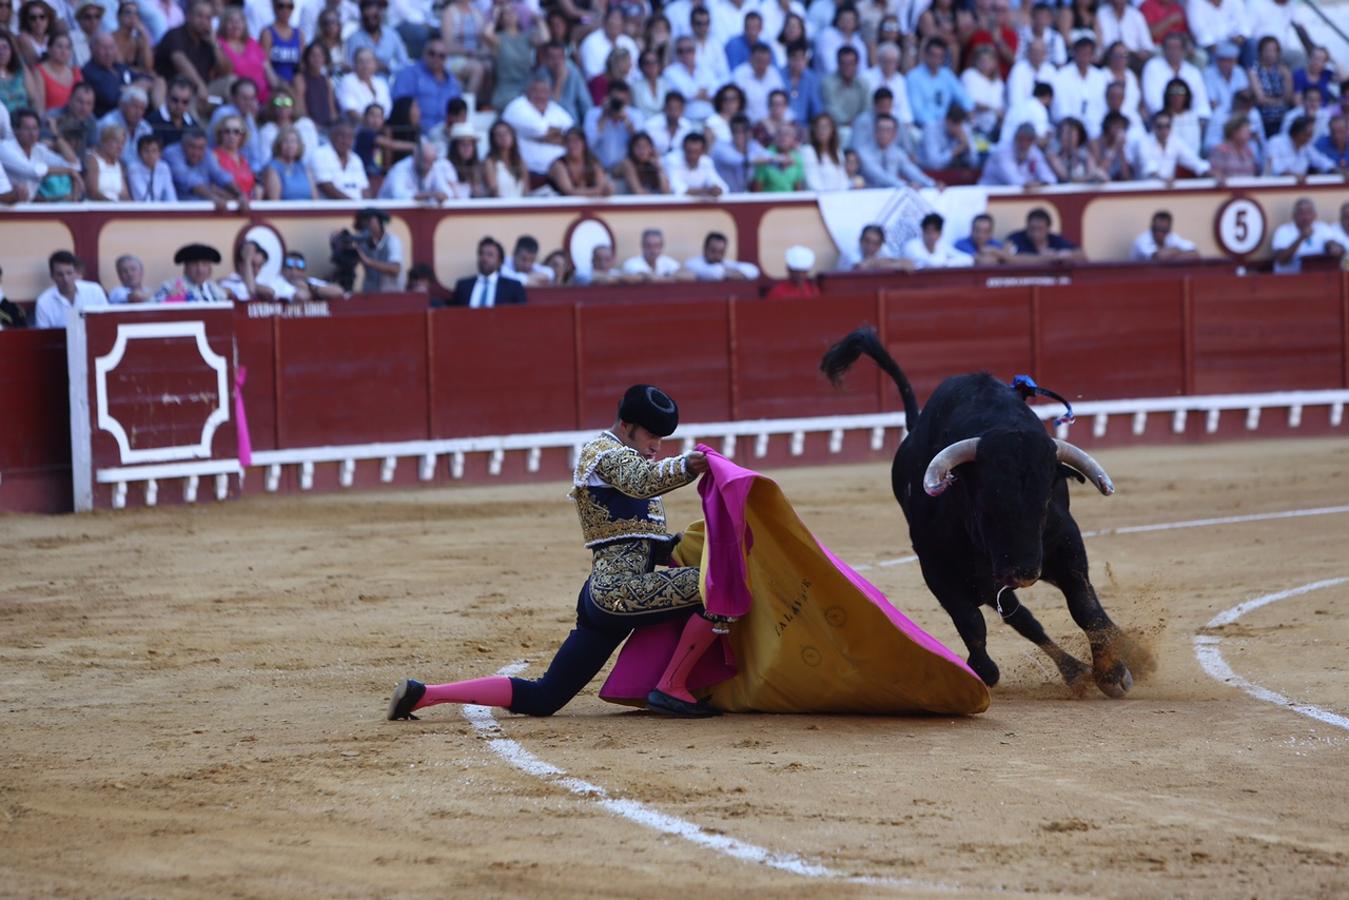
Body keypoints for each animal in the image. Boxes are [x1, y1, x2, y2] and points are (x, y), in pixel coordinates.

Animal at [814, 327, 1133, 701]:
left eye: (1044, 504)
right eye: (985, 507)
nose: (1023, 572)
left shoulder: (1065, 545)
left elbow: (1085, 606)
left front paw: (1113, 671)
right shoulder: (938, 568)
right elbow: (972, 623)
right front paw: (982, 672)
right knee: (1019, 617)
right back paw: (1073, 671)